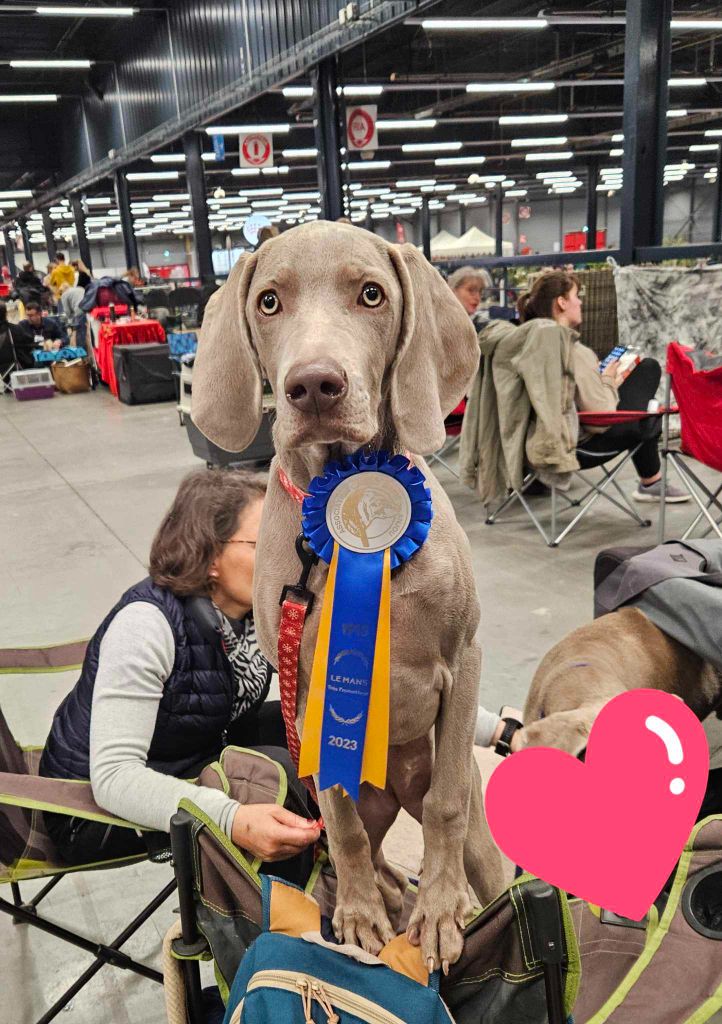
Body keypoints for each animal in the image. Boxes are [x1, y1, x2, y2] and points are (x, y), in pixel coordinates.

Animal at [191, 222, 501, 966]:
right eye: (269, 301)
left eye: (371, 295)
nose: (313, 385)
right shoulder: (307, 689)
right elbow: (340, 820)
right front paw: (360, 913)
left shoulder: (466, 656)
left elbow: (446, 804)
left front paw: (440, 912)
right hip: (362, 788)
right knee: (362, 836)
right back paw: (383, 892)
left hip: (467, 817)